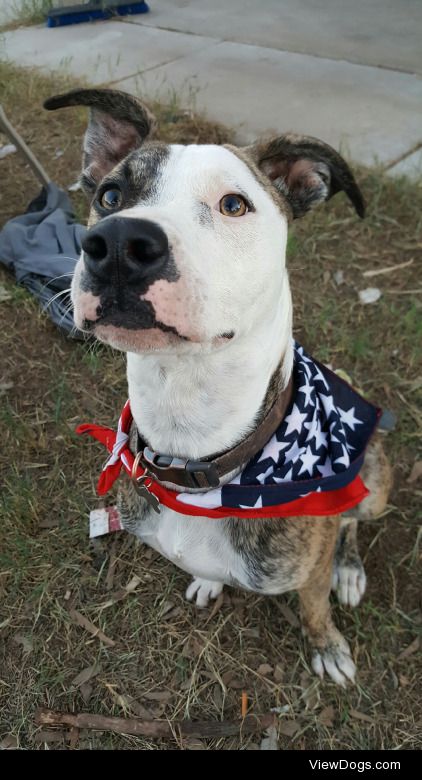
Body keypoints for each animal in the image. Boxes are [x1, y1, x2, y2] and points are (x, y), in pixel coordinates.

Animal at [43, 88, 392, 684]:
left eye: (233, 204)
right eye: (111, 195)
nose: (118, 243)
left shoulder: (308, 566)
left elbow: (314, 605)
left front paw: (327, 646)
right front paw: (209, 580)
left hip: (376, 477)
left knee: (351, 522)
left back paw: (349, 571)